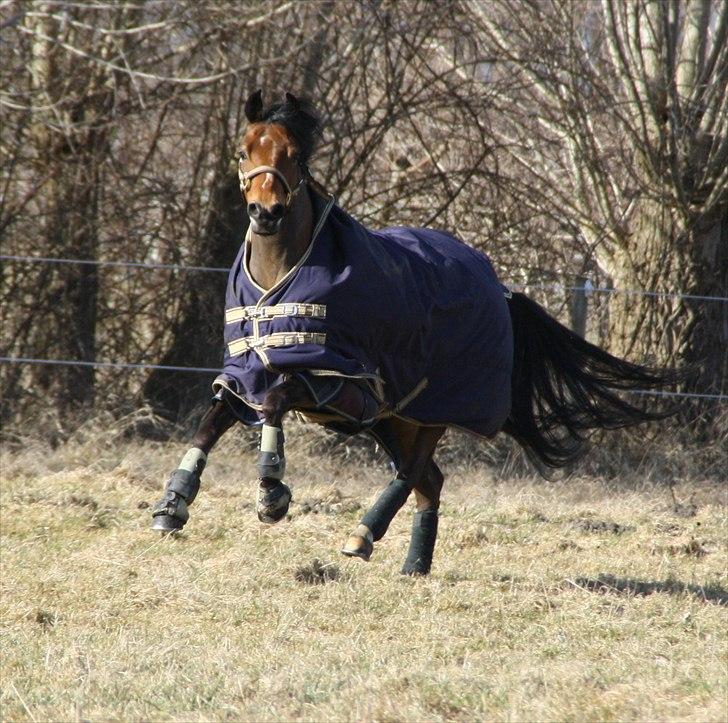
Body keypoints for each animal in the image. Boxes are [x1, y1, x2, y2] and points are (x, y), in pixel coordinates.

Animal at [150, 90, 671, 576]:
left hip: (431, 409)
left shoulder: (337, 384)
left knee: (415, 470)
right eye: (244, 151)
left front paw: (272, 492)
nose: (267, 212)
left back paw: (363, 534)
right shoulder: (246, 376)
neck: (282, 279)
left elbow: (276, 402)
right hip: (397, 418)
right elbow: (211, 421)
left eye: (294, 155)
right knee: (429, 480)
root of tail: (500, 290)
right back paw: (414, 564)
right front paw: (173, 504)